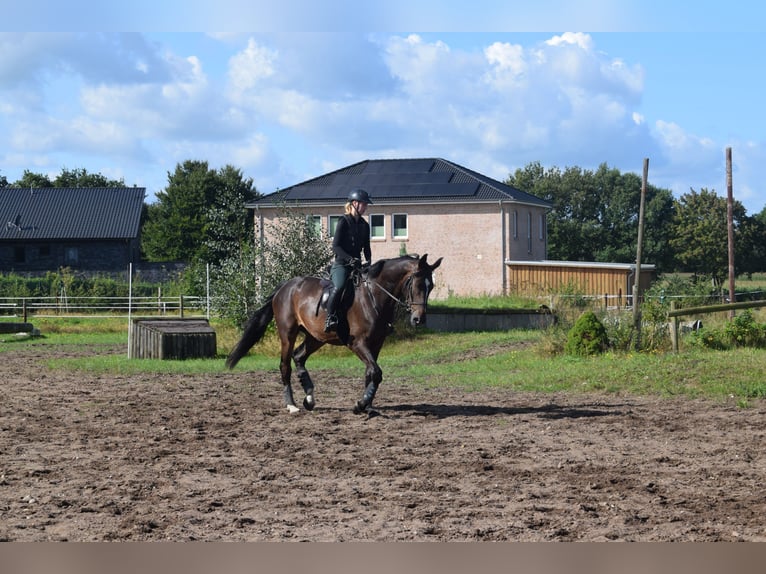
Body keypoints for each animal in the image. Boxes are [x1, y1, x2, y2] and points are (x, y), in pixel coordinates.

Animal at [225, 254, 444, 416]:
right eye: (417, 285)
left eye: (431, 286)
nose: (418, 319)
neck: (374, 296)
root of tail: (286, 286)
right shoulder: (357, 343)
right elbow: (376, 372)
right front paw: (361, 404)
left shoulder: (376, 343)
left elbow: (371, 373)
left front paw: (367, 406)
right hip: (288, 333)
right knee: (285, 365)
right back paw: (292, 405)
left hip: (316, 337)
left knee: (299, 356)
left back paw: (309, 398)